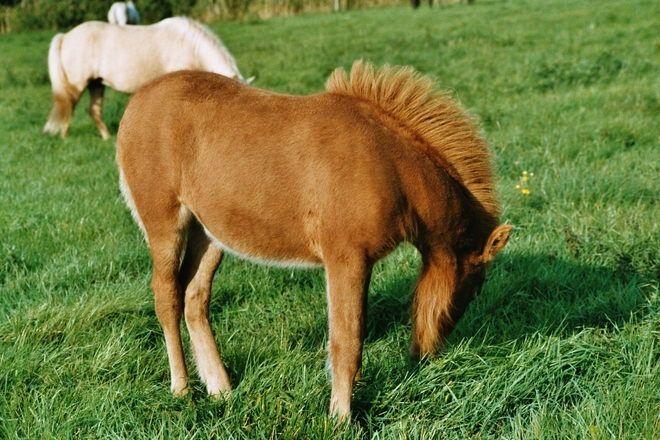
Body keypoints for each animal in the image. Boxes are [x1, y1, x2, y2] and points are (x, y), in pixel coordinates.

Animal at [42, 17, 253, 139]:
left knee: (93, 110)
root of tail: (65, 36)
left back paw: (107, 137)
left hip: (96, 84)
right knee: (67, 107)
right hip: (78, 85)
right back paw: (65, 137)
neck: (188, 44)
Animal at [116, 61, 512, 420]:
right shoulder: (346, 258)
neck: (389, 163)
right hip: (165, 224)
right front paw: (341, 417)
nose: (427, 356)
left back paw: (221, 389)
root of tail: (137, 102)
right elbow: (346, 341)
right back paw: (182, 389)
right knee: (167, 296)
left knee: (194, 298)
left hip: (210, 233)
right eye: (475, 289)